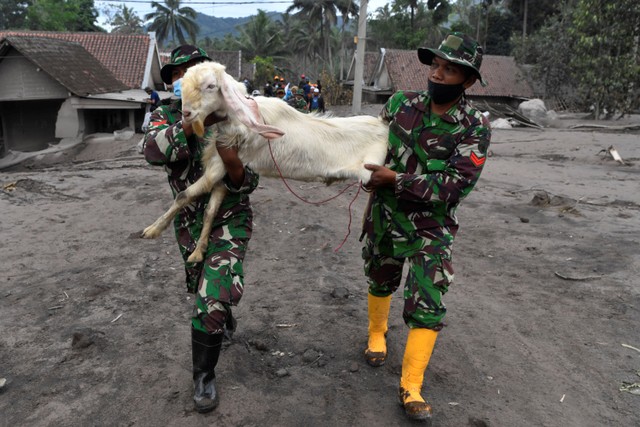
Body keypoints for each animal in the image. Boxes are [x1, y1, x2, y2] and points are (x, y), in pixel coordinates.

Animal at [142, 61, 388, 262]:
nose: (186, 114)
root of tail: (383, 127)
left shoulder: (220, 165)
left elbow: (184, 195)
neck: (236, 119)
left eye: (211, 86)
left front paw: (152, 229)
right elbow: (211, 210)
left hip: (372, 170)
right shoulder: (224, 173)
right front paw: (198, 252)